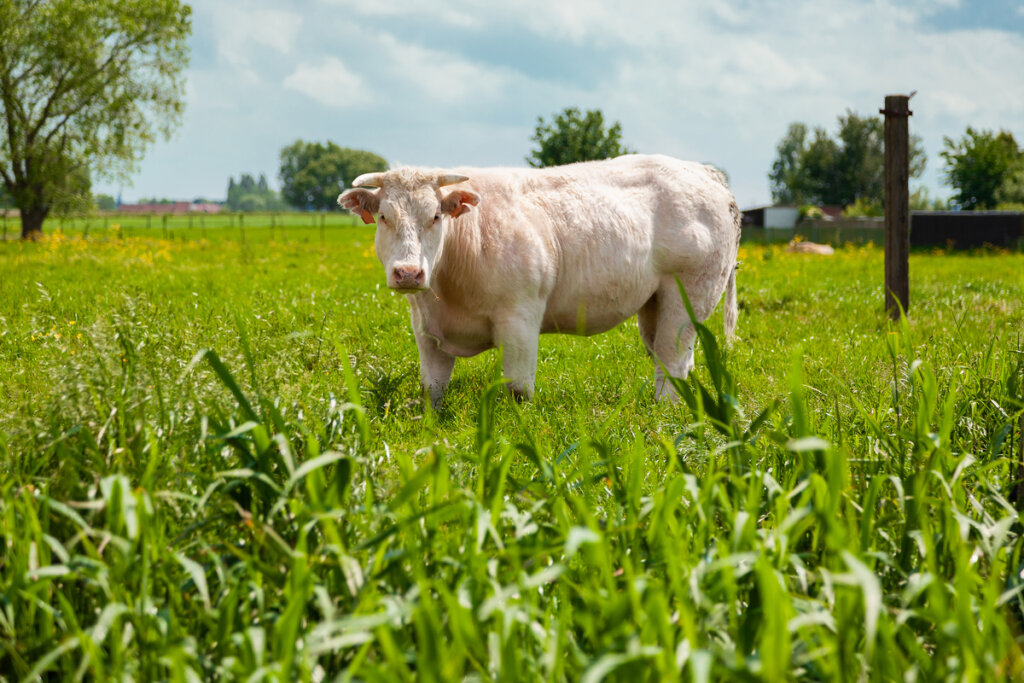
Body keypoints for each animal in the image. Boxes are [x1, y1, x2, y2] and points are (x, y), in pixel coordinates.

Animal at [339, 154, 741, 409]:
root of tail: (705, 173)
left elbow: (518, 390)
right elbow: (431, 392)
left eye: (436, 216)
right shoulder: (426, 331)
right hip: (654, 304)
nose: (409, 272)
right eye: (384, 217)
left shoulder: (519, 319)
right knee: (670, 357)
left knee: (672, 360)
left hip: (690, 295)